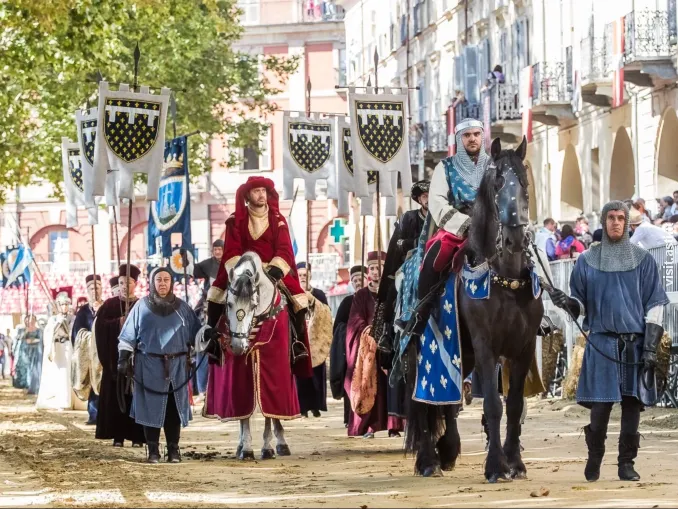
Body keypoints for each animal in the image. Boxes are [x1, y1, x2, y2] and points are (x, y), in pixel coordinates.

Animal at [228, 252, 292, 458]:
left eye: (253, 304)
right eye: (229, 304)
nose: (238, 346)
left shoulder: (269, 362)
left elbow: (268, 409)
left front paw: (268, 446)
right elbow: (244, 410)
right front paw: (247, 447)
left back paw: (281, 442)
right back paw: (241, 444)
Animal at [406, 137, 544, 482]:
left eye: (524, 182)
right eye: (498, 183)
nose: (515, 238)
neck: (504, 276)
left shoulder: (521, 348)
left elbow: (515, 405)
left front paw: (515, 463)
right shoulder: (486, 346)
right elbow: (493, 405)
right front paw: (495, 465)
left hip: (461, 353)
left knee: (450, 403)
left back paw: (448, 450)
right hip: (422, 353)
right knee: (423, 403)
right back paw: (428, 460)